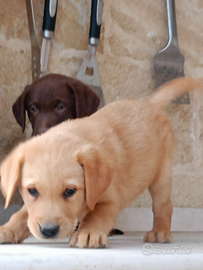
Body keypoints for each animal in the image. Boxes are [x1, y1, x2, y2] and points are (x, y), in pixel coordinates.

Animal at [0, 77, 202, 248]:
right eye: (32, 191)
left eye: (70, 191)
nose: (49, 231)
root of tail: (149, 103)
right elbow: (22, 214)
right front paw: (6, 230)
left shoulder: (110, 199)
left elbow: (95, 215)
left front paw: (88, 233)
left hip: (162, 175)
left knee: (163, 205)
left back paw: (160, 232)